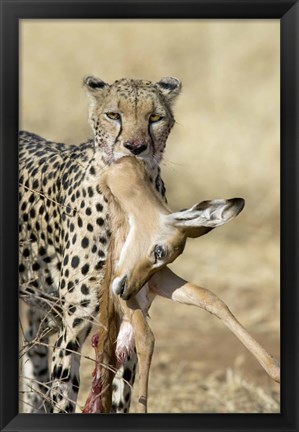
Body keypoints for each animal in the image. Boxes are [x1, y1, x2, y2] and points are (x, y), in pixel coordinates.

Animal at [20, 76, 183, 414]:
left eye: (155, 117)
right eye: (113, 115)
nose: (135, 147)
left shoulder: (129, 316)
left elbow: (120, 393)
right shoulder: (73, 324)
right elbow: (64, 394)